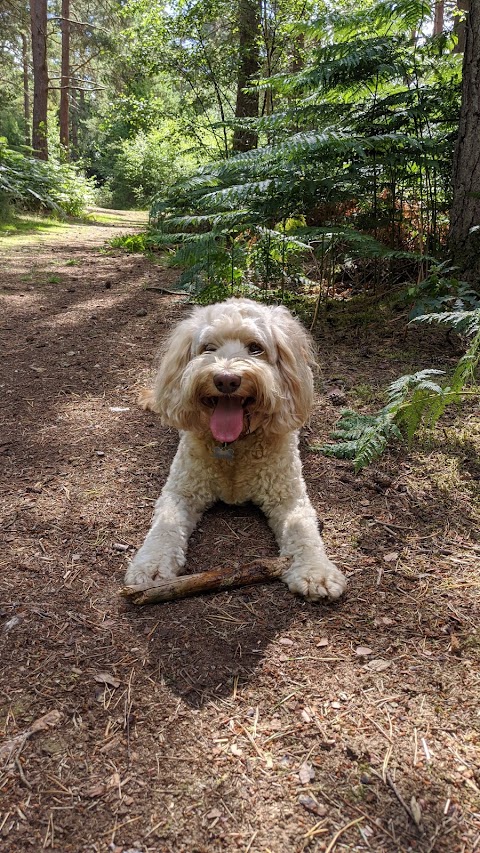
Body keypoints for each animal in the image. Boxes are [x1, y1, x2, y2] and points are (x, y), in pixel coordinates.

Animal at [125, 298, 346, 600]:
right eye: (208, 348)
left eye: (256, 347)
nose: (226, 380)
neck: (234, 445)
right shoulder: (181, 491)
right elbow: (165, 526)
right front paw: (150, 565)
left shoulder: (289, 497)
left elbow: (303, 530)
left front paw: (316, 571)